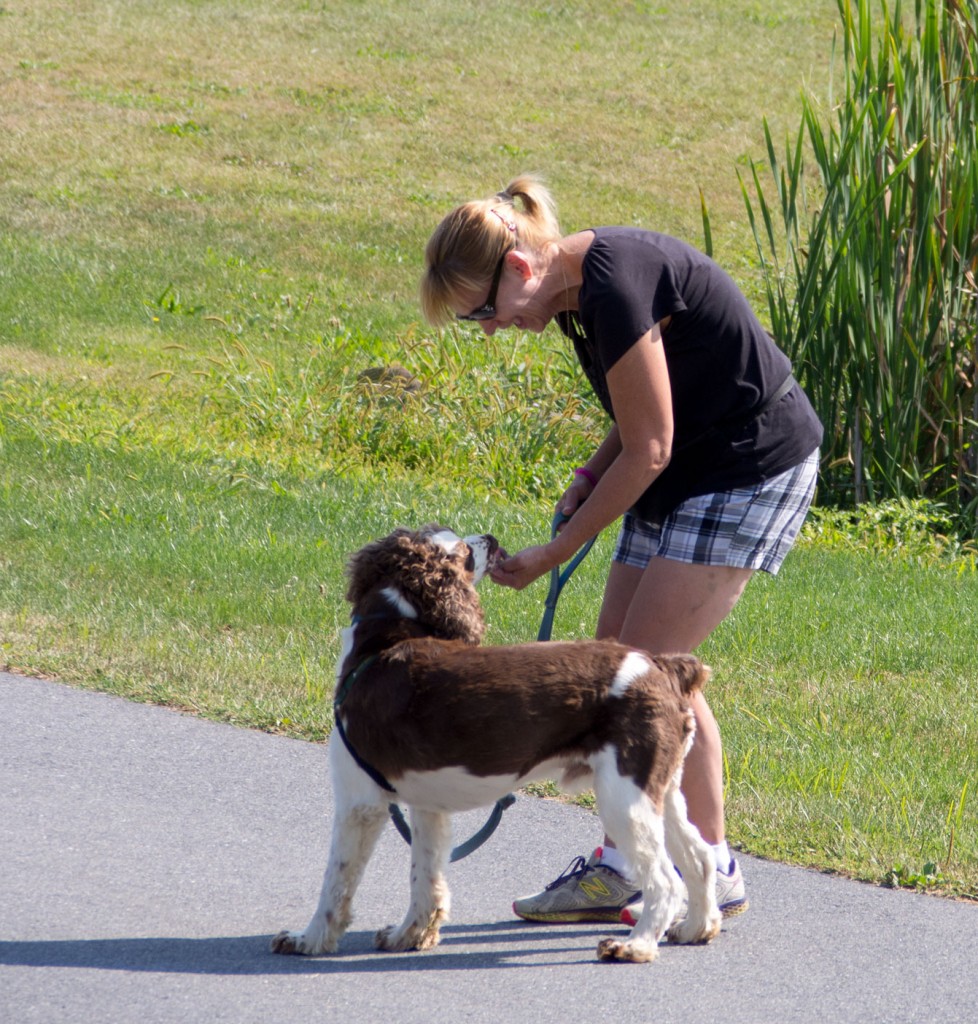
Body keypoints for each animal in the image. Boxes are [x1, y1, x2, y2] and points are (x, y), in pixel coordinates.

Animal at [272, 524, 720, 962]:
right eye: (461, 549)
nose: (490, 538)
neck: (383, 642)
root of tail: (661, 666)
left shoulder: (360, 800)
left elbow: (336, 879)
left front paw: (308, 939)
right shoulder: (426, 806)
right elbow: (425, 876)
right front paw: (409, 935)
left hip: (623, 796)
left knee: (665, 879)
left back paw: (636, 945)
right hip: (660, 786)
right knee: (699, 858)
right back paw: (696, 928)